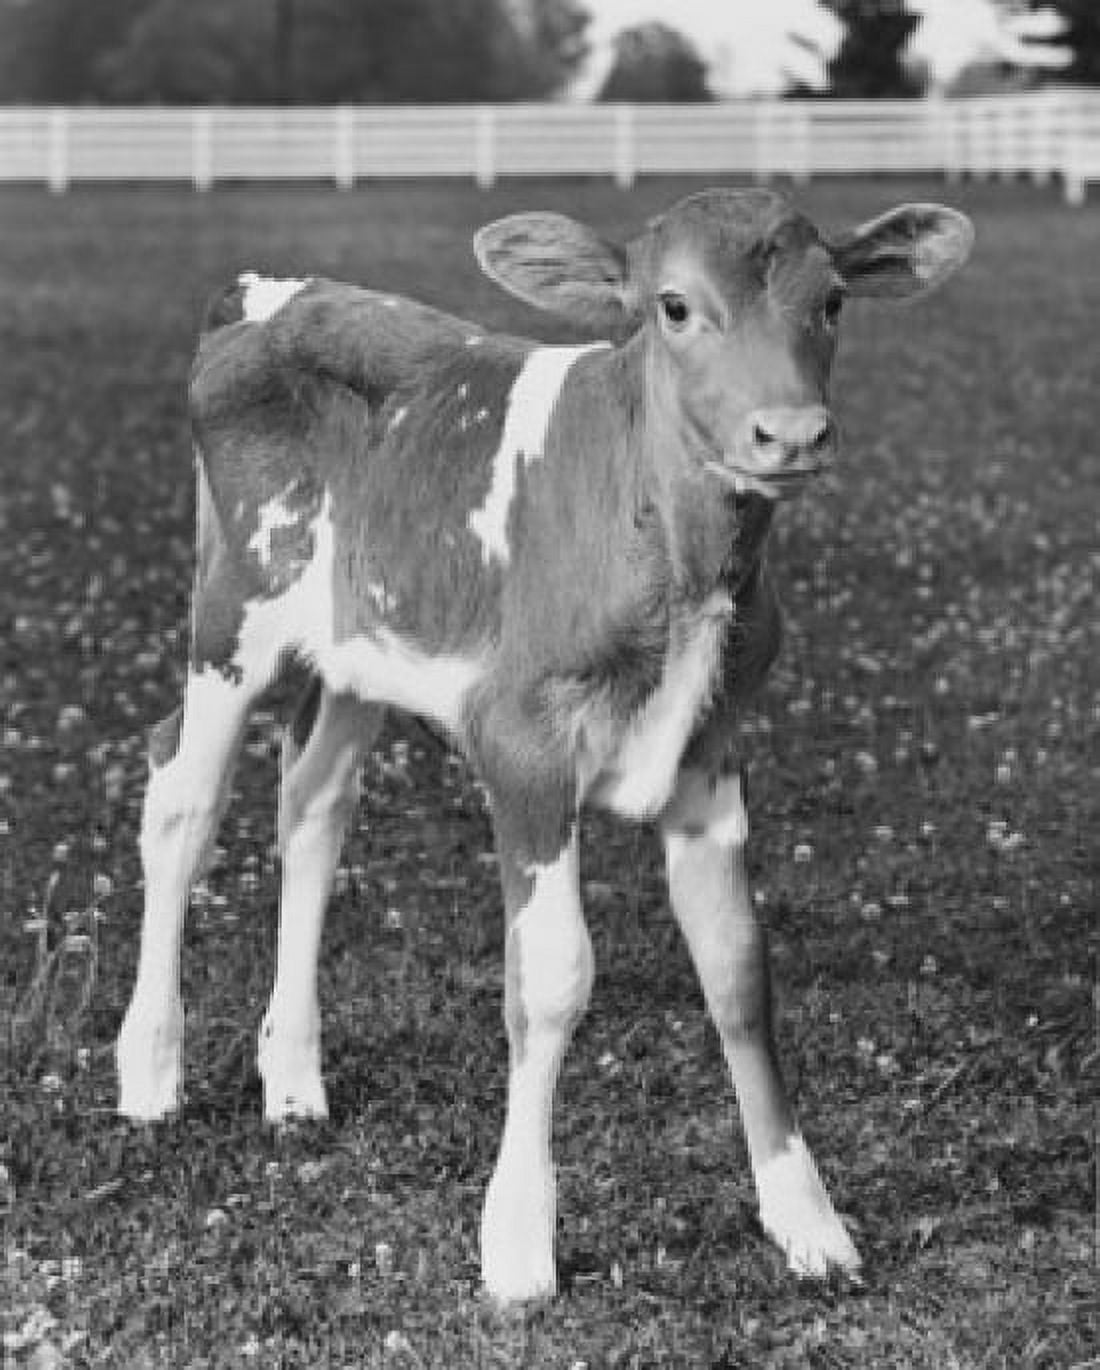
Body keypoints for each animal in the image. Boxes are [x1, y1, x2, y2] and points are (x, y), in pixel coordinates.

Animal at [115, 188, 973, 1303]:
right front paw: (519, 1240)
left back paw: (294, 1077)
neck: (675, 559)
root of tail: (266, 289)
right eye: (672, 306)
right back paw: (150, 1069)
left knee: (311, 806)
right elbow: (552, 976)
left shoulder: (710, 748)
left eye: (831, 299)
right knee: (180, 797)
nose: (789, 432)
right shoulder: (519, 747)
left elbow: (738, 971)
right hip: (233, 609)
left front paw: (806, 1220)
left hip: (359, 645)